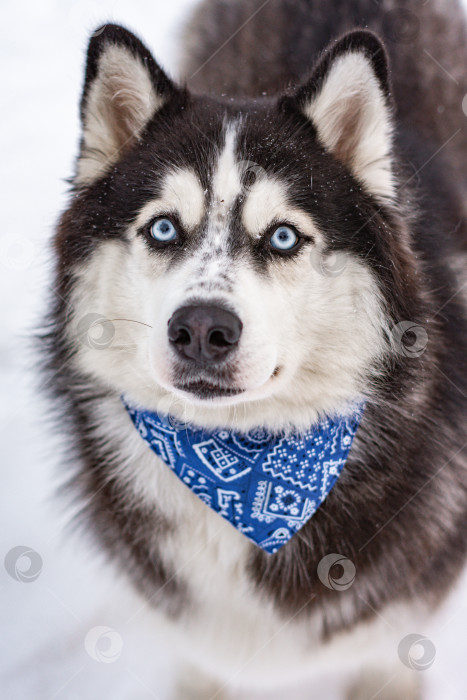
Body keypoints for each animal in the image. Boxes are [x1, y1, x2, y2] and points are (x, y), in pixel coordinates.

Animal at [46, 0, 467, 696]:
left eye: (283, 237)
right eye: (164, 228)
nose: (201, 329)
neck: (239, 471)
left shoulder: (393, 633)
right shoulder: (196, 647)